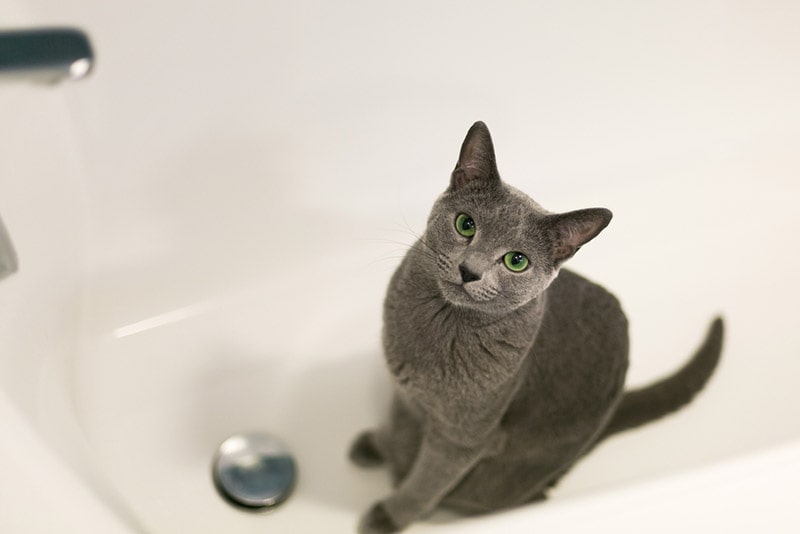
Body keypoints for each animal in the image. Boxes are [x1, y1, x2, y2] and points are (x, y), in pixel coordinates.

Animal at [350, 122, 724, 534]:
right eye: (466, 224)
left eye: (517, 261)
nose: (469, 270)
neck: (438, 325)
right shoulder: (402, 391)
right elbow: (400, 425)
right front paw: (382, 445)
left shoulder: (464, 437)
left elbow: (427, 481)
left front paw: (390, 513)